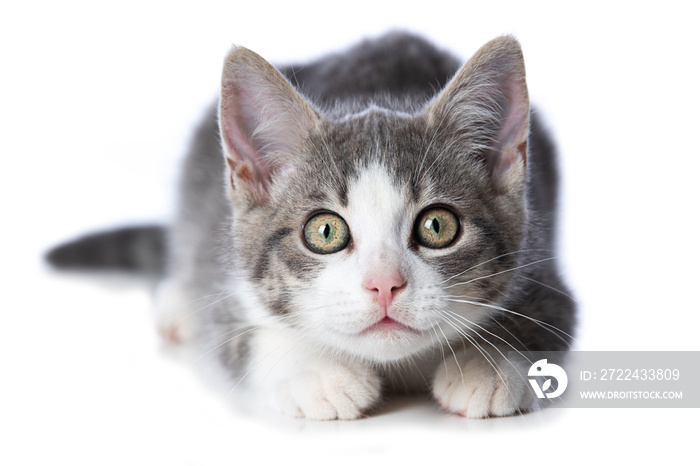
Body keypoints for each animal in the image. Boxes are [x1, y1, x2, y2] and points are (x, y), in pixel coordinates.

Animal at [47, 31, 576, 418]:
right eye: (325, 232)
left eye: (437, 227)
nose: (384, 284)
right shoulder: (227, 271)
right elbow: (237, 335)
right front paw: (321, 372)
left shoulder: (540, 260)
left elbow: (550, 317)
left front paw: (488, 364)